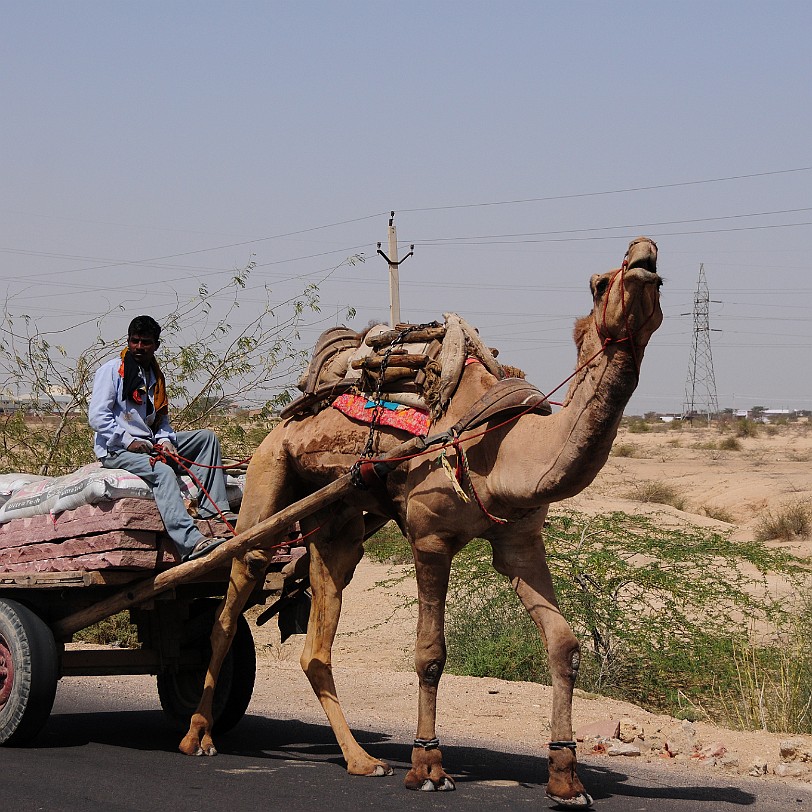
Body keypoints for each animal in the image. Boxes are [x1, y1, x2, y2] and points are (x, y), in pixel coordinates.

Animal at [181, 235, 664, 804]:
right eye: (599, 283)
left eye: (657, 274)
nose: (644, 253)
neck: (502, 447)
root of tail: (285, 419)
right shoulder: (431, 537)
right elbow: (430, 653)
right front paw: (429, 765)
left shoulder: (520, 541)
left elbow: (563, 645)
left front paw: (566, 777)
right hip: (267, 475)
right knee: (234, 595)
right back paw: (198, 736)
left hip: (338, 522)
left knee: (318, 636)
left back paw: (362, 760)